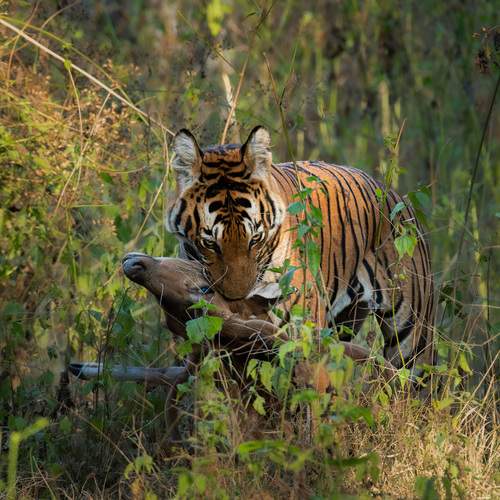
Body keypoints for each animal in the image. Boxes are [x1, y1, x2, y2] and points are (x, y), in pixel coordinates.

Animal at [166, 126, 435, 374]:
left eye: (255, 239)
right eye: (210, 242)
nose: (234, 301)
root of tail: (393, 193)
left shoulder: (300, 329)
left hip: (411, 333)